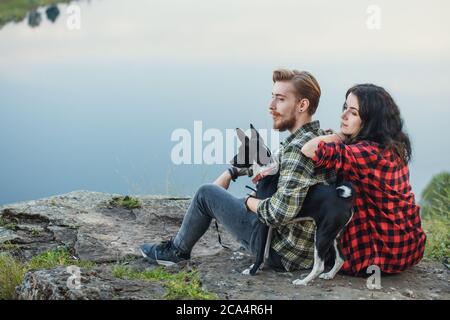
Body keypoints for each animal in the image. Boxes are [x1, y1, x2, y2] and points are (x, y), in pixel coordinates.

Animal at [232, 124, 356, 284]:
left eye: (242, 151)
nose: (231, 161)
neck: (267, 172)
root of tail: (344, 199)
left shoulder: (264, 220)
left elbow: (260, 251)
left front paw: (253, 270)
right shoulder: (270, 224)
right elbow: (265, 252)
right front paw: (258, 267)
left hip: (322, 234)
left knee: (319, 265)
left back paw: (303, 282)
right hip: (335, 234)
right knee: (341, 258)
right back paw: (329, 275)